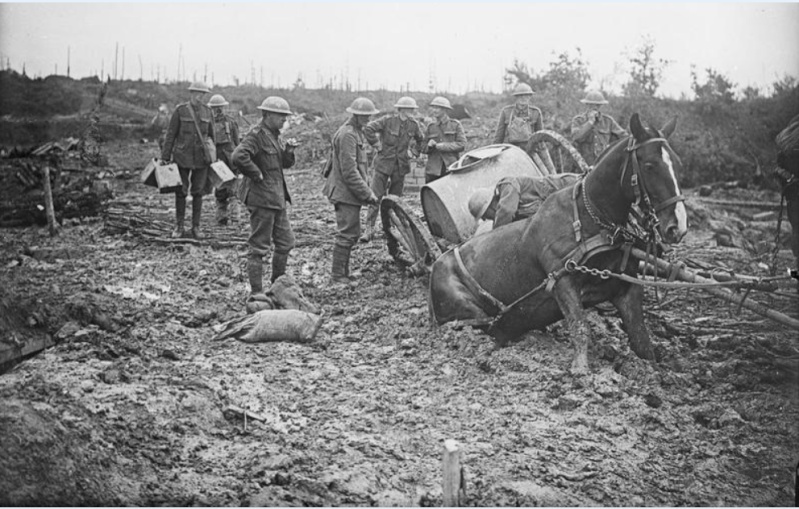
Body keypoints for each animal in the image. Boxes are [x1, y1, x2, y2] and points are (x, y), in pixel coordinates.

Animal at [432, 112, 688, 374]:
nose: (677, 226)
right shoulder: (562, 281)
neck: (590, 219)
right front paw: (580, 371)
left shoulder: (627, 288)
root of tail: (437, 264)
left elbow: (642, 341)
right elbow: (580, 327)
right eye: (649, 165)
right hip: (468, 314)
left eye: (678, 165)